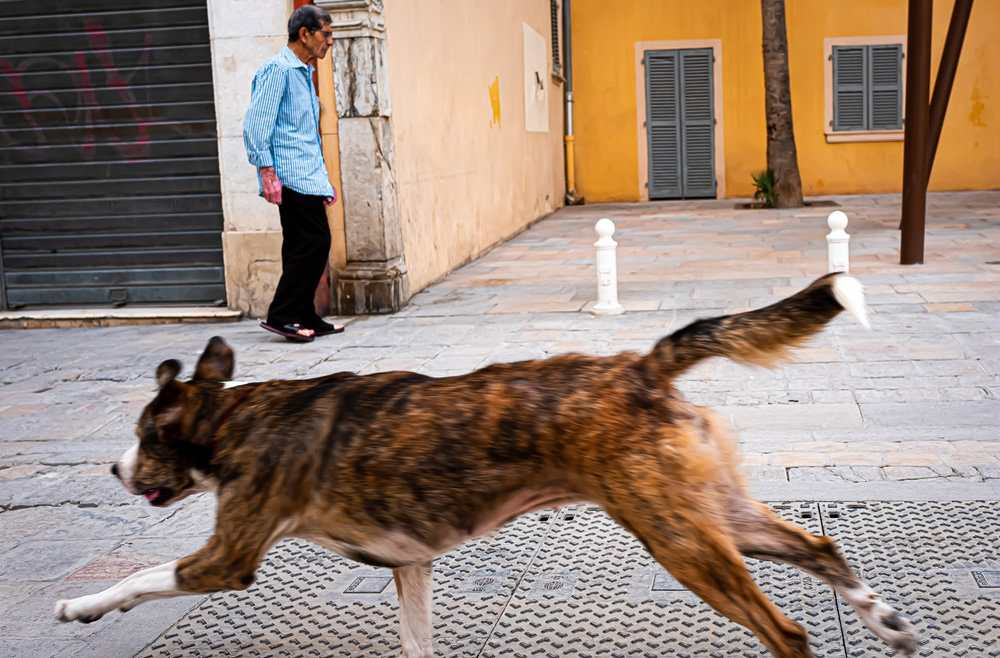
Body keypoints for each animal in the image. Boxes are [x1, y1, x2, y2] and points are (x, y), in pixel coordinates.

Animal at [52, 272, 916, 656]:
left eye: (144, 435)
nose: (113, 473)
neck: (235, 415)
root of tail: (640, 367)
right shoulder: (410, 568)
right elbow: (416, 643)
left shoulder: (226, 558)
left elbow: (137, 579)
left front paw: (82, 607)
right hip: (714, 515)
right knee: (821, 546)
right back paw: (882, 620)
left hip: (680, 540)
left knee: (787, 631)